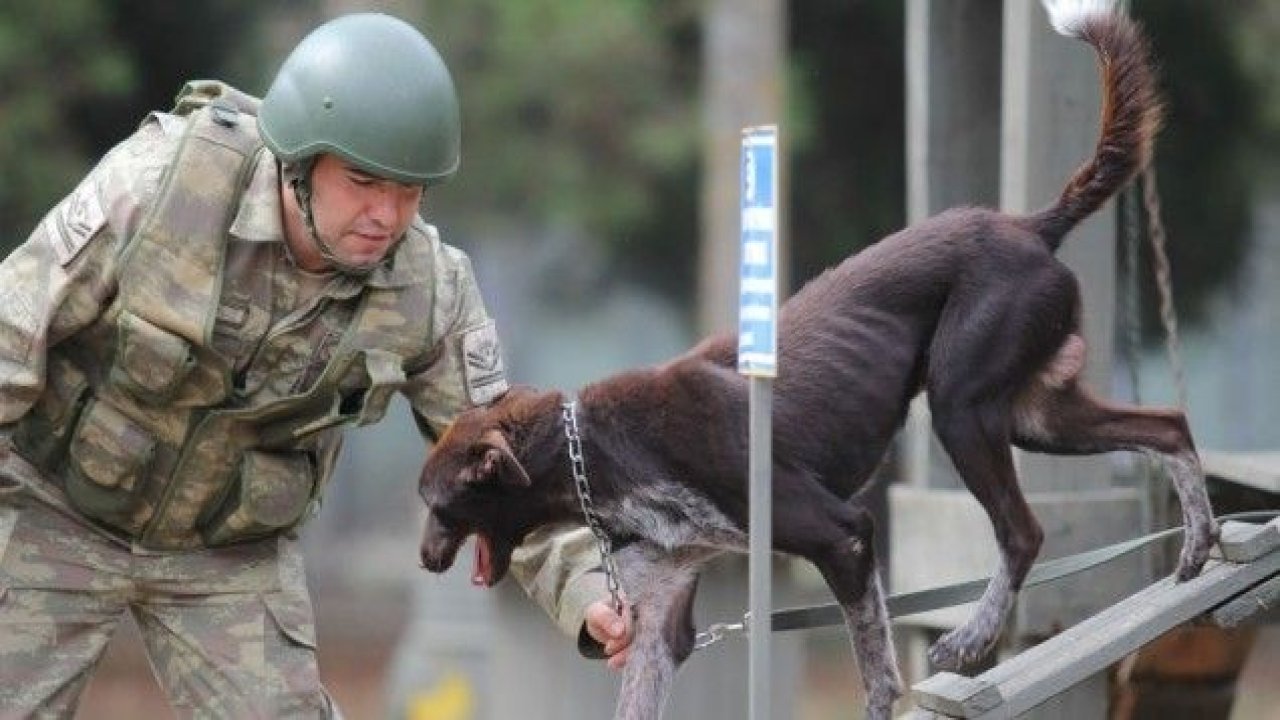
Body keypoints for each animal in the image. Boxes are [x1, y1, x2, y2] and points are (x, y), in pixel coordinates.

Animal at [414, 11, 1213, 717]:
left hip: (963, 409)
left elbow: (877, 673)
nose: (423, 560)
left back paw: (971, 637)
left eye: (440, 505)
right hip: (1036, 416)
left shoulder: (843, 533)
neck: (599, 448)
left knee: (1024, 531)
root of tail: (1029, 225)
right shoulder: (662, 621)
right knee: (1168, 425)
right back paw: (1199, 546)